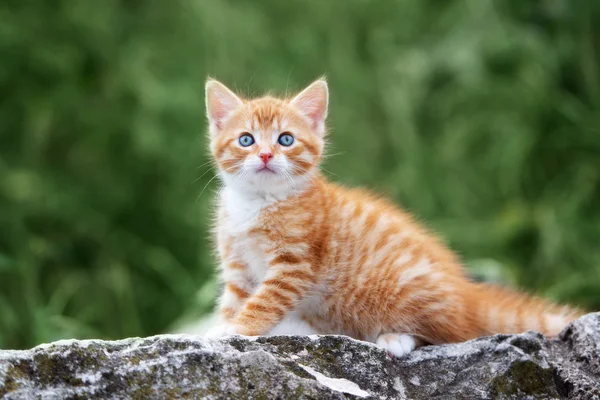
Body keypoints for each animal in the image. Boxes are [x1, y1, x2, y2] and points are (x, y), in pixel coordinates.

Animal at [203, 77, 580, 356]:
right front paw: (220, 325)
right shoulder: (237, 264)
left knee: (453, 334)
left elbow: (265, 302)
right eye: (246, 140)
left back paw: (395, 338)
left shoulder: (295, 264)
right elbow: (234, 299)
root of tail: (467, 295)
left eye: (285, 140)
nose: (266, 155)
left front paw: (236, 328)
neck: (257, 202)